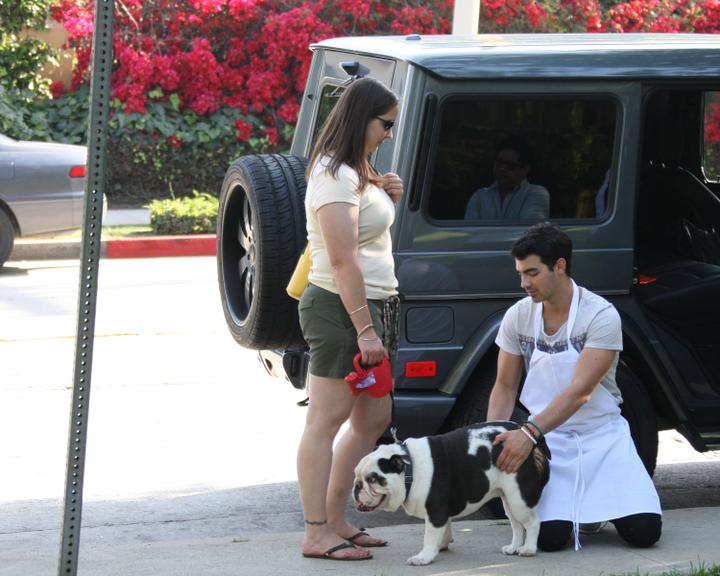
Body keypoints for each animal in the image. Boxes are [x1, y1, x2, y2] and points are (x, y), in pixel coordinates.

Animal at [354, 420, 552, 564]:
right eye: (356, 474)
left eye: (372, 479)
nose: (356, 486)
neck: (410, 469)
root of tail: (532, 442)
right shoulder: (443, 513)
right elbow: (445, 529)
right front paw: (442, 545)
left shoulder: (435, 512)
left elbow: (429, 536)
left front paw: (424, 556)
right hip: (509, 498)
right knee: (516, 524)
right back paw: (513, 547)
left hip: (519, 499)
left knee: (533, 523)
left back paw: (528, 549)